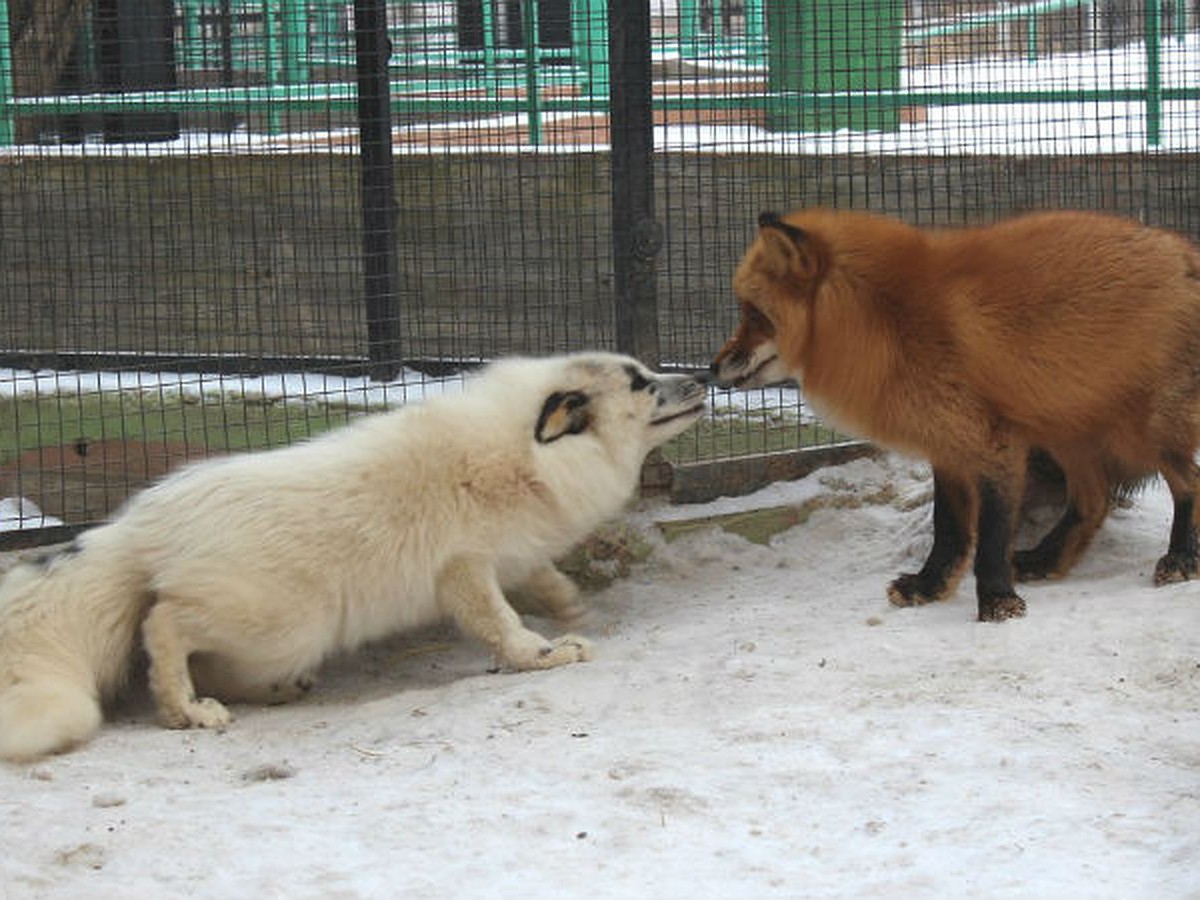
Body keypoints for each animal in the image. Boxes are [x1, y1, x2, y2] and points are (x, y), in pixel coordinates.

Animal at [710, 208, 1200, 624]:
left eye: (755, 314)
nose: (710, 369)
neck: (892, 321)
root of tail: (1185, 250)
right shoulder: (945, 444)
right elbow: (947, 530)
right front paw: (929, 587)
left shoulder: (994, 443)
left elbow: (992, 536)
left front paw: (999, 603)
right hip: (1066, 427)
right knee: (1093, 499)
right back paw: (1046, 559)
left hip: (1142, 431)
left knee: (1187, 483)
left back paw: (1180, 558)